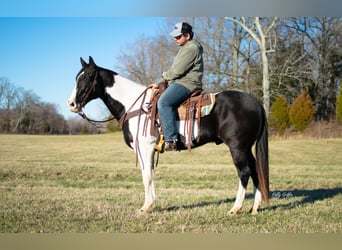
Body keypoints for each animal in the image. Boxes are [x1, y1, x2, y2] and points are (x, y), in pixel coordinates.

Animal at [67, 56, 270, 215]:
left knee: (244, 172)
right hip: (246, 148)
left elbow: (146, 176)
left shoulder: (145, 148)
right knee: (255, 170)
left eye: (89, 76)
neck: (135, 106)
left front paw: (146, 207)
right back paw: (255, 207)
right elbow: (150, 174)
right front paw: (151, 205)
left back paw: (236, 208)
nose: (71, 104)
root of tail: (256, 103)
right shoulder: (148, 151)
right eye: (77, 77)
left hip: (237, 147)